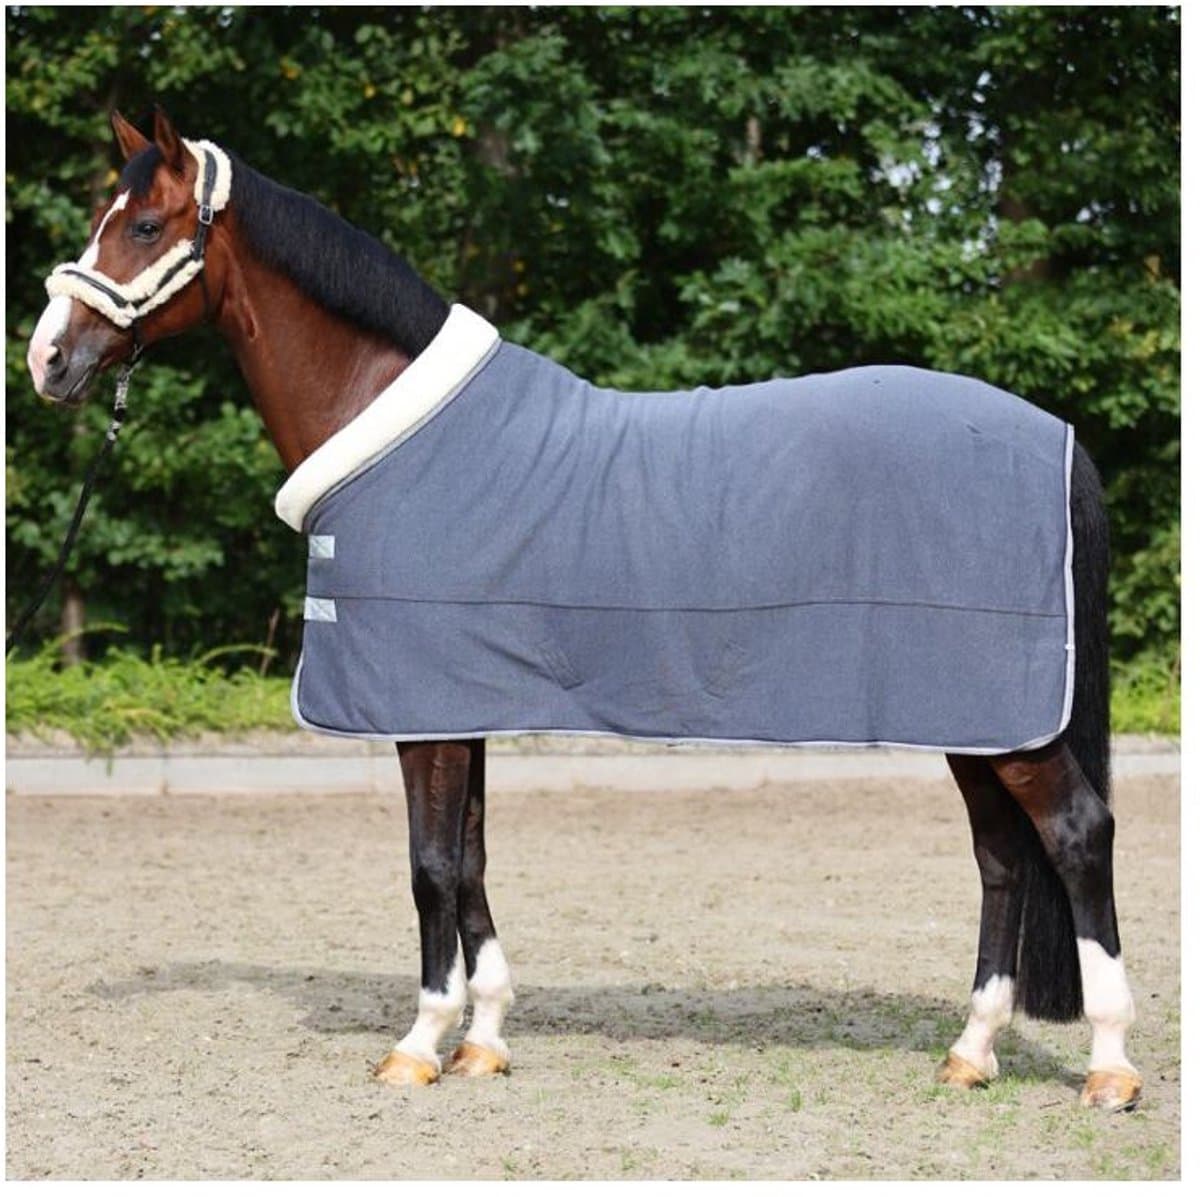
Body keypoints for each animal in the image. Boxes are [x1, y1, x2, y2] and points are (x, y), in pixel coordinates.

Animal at [25, 109, 1141, 1110]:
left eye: (143, 226)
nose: (46, 360)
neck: (394, 426)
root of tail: (1056, 436)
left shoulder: (424, 710)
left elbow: (431, 868)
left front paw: (420, 1044)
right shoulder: (457, 703)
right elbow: (472, 862)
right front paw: (484, 1040)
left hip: (1007, 721)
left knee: (1076, 834)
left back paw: (1110, 1067)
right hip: (977, 722)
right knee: (1003, 859)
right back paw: (971, 1051)